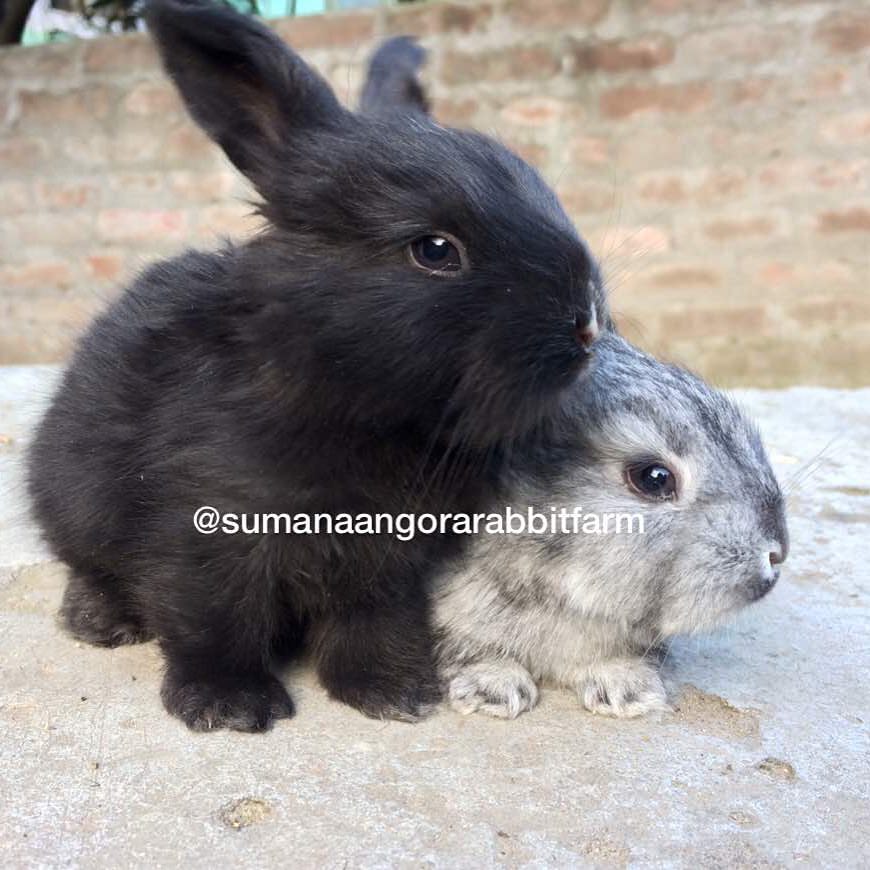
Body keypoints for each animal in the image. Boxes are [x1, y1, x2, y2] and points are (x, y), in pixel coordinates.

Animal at [26, 0, 608, 732]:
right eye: (435, 249)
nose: (586, 324)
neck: (351, 402)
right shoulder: (205, 535)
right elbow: (211, 620)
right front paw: (229, 706)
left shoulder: (391, 566)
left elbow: (373, 623)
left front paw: (393, 694)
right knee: (88, 567)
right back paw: (99, 622)